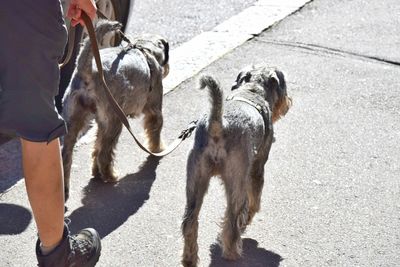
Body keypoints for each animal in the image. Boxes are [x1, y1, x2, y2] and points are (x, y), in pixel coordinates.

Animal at [61, 20, 170, 201]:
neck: (145, 49)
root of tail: (87, 70)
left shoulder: (100, 123)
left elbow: (97, 144)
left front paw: (94, 169)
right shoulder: (155, 109)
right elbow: (155, 130)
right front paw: (157, 149)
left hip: (74, 122)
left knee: (67, 156)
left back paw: (67, 188)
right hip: (115, 122)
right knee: (105, 154)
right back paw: (109, 175)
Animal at [181, 65, 290, 267]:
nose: (287, 103)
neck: (252, 90)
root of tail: (218, 124)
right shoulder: (257, 168)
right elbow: (254, 200)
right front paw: (248, 218)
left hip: (195, 181)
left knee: (190, 221)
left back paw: (189, 258)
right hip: (236, 181)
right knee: (233, 217)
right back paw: (232, 252)